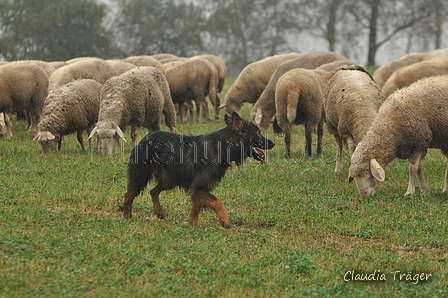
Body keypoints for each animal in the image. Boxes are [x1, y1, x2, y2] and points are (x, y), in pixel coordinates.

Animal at [124, 113, 274, 227]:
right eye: (258, 133)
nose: (273, 143)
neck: (223, 146)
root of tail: (145, 138)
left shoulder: (198, 188)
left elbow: (196, 208)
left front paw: (192, 225)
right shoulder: (198, 187)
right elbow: (218, 201)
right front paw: (225, 221)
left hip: (169, 179)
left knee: (153, 191)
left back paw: (159, 212)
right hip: (141, 176)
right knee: (129, 195)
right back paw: (127, 216)